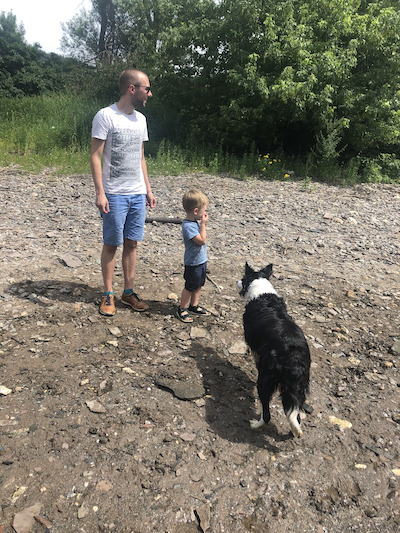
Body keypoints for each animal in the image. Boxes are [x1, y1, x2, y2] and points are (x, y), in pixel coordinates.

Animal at [236, 262, 310, 436]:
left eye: (243, 278)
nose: (237, 281)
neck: (261, 292)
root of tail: (293, 359)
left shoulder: (255, 348)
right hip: (299, 387)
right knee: (295, 415)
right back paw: (295, 432)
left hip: (265, 382)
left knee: (267, 414)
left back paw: (256, 425)